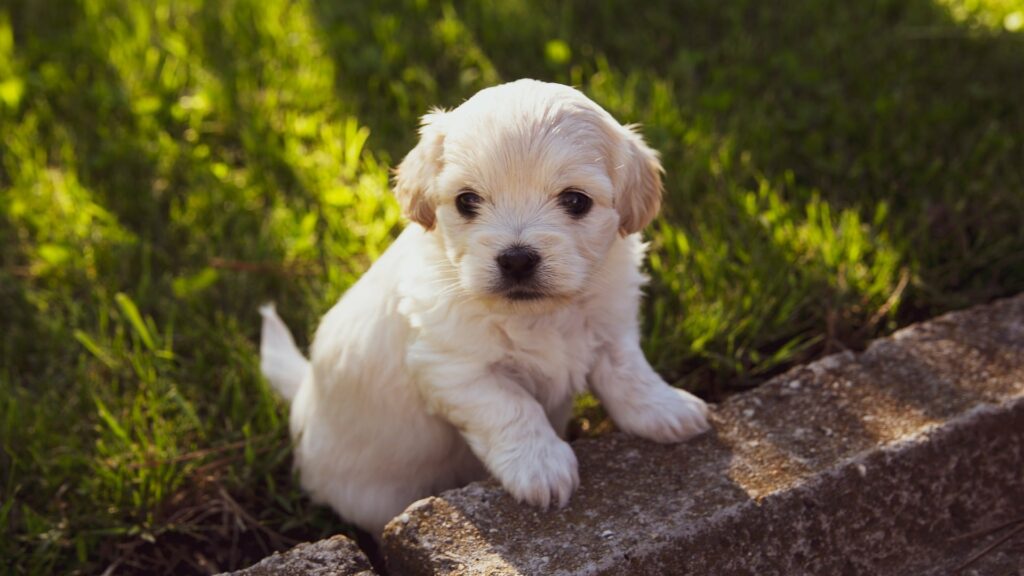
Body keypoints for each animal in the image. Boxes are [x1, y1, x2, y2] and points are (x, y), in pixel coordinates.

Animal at [262, 78, 712, 537]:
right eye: (467, 201)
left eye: (575, 201)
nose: (516, 259)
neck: (539, 315)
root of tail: (303, 397)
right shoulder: (454, 368)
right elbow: (512, 407)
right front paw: (542, 466)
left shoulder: (610, 326)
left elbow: (629, 372)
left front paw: (665, 409)